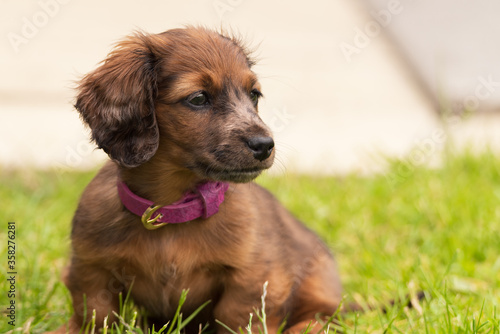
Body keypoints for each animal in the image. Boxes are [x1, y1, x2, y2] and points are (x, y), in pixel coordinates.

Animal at [51, 26, 348, 334]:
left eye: (254, 95)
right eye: (198, 98)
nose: (265, 145)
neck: (172, 212)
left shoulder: (253, 276)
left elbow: (236, 316)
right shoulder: (90, 268)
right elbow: (96, 316)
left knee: (323, 317)